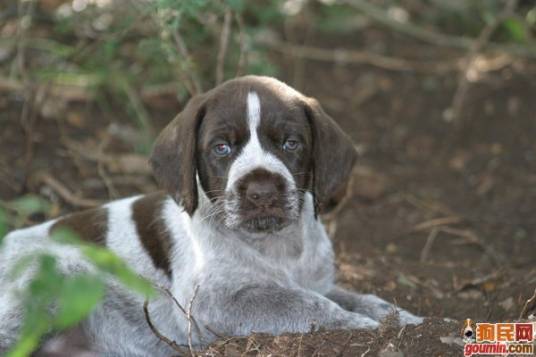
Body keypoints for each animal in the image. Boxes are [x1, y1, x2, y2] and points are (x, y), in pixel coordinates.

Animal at [0, 74, 422, 354]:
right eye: (221, 147)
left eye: (291, 144)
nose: (262, 192)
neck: (277, 247)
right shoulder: (216, 302)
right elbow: (307, 304)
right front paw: (364, 328)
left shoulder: (317, 281)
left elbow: (361, 298)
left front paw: (405, 319)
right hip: (50, 277)